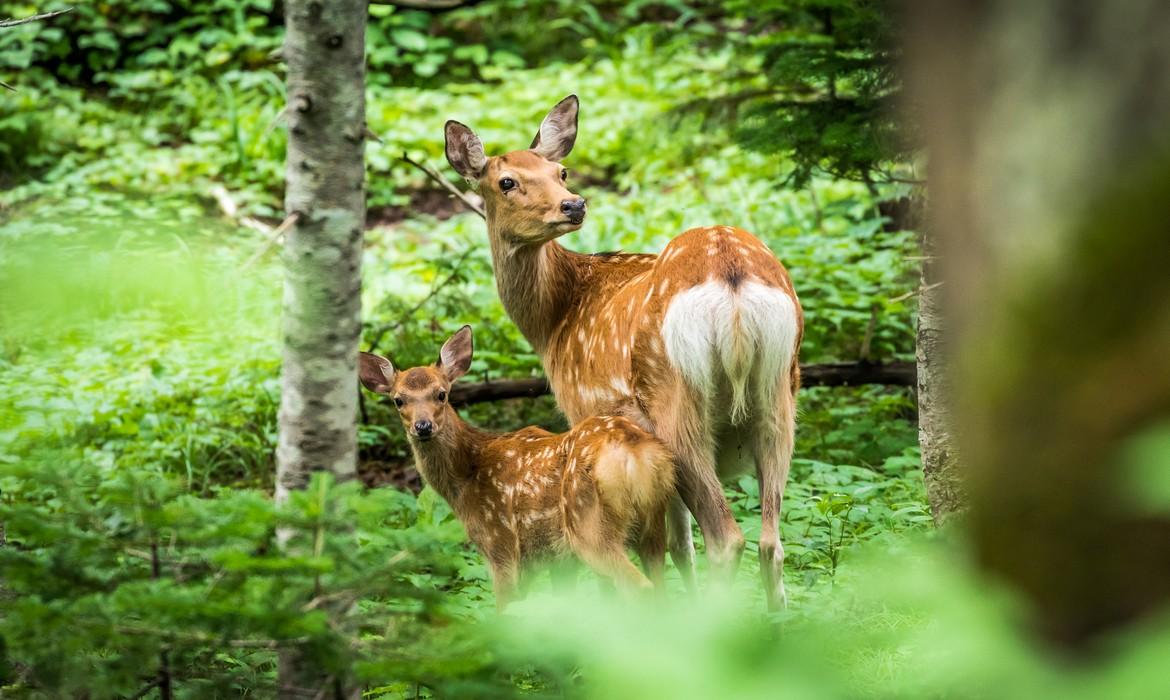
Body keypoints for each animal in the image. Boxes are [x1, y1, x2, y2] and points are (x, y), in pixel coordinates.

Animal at [358, 325, 676, 611]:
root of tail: (636, 452)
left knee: (641, 588)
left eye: (441, 394)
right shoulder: (556, 559)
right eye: (399, 400)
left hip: (588, 524)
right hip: (653, 522)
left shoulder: (500, 542)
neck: (466, 477)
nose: (423, 426)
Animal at [443, 95, 804, 609]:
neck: (556, 320)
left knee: (725, 539)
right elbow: (678, 545)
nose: (573, 204)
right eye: (506, 181)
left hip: (676, 404)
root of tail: (731, 277)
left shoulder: (584, 414)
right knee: (770, 542)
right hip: (780, 397)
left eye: (560, 171)